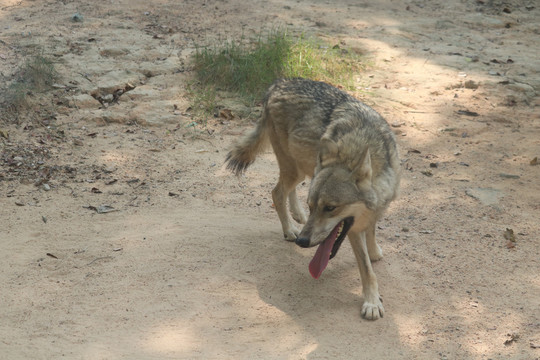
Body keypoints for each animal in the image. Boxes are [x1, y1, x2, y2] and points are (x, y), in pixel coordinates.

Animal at [225, 79, 400, 320]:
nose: (302, 241)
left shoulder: (374, 210)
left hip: (305, 168)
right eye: (314, 207)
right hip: (295, 170)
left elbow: (372, 231)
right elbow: (366, 269)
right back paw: (290, 229)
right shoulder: (353, 230)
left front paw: (374, 252)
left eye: (330, 208)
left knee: (286, 191)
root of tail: (277, 84)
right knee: (276, 192)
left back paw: (297, 216)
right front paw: (372, 303)